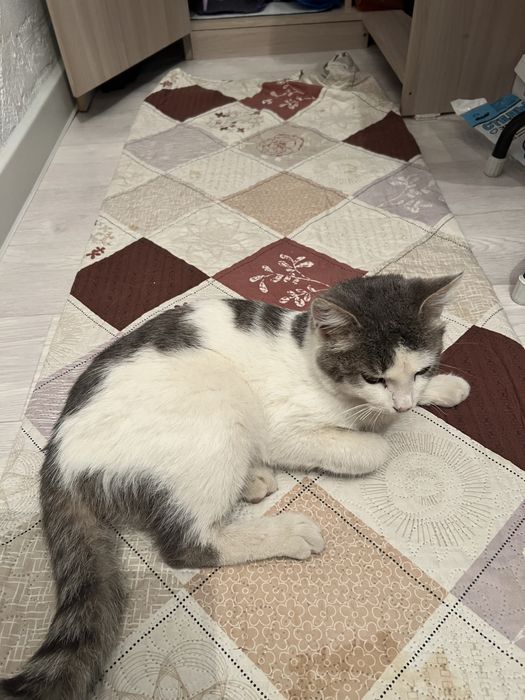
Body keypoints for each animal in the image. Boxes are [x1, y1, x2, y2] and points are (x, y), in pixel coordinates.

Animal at [1, 273, 470, 700]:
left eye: (421, 369)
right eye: (374, 378)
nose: (403, 404)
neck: (308, 358)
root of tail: (58, 457)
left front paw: (444, 386)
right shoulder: (284, 430)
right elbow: (371, 449)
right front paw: (377, 433)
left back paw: (253, 479)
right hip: (218, 402)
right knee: (187, 544)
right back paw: (284, 530)